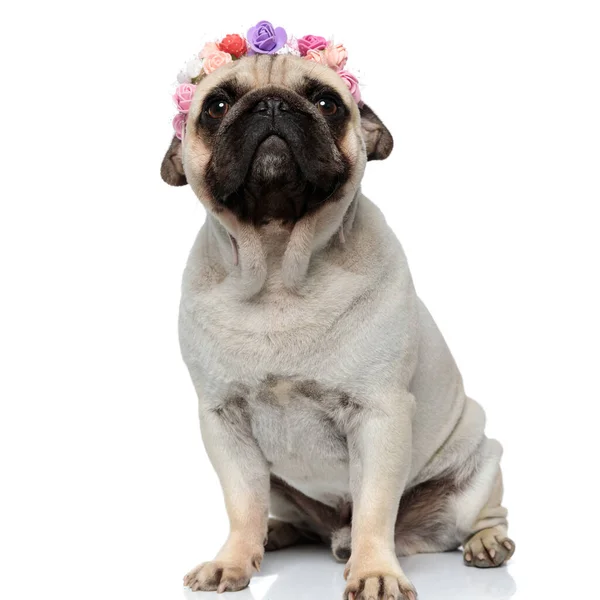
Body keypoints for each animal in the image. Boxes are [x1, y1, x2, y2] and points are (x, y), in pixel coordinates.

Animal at [161, 54, 516, 596]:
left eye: (327, 102)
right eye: (217, 106)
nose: (271, 103)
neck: (279, 267)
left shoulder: (380, 415)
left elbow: (374, 507)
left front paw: (374, 572)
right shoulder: (223, 420)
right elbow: (241, 503)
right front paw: (234, 560)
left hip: (480, 467)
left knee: (481, 515)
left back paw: (485, 543)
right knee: (282, 512)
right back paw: (276, 533)